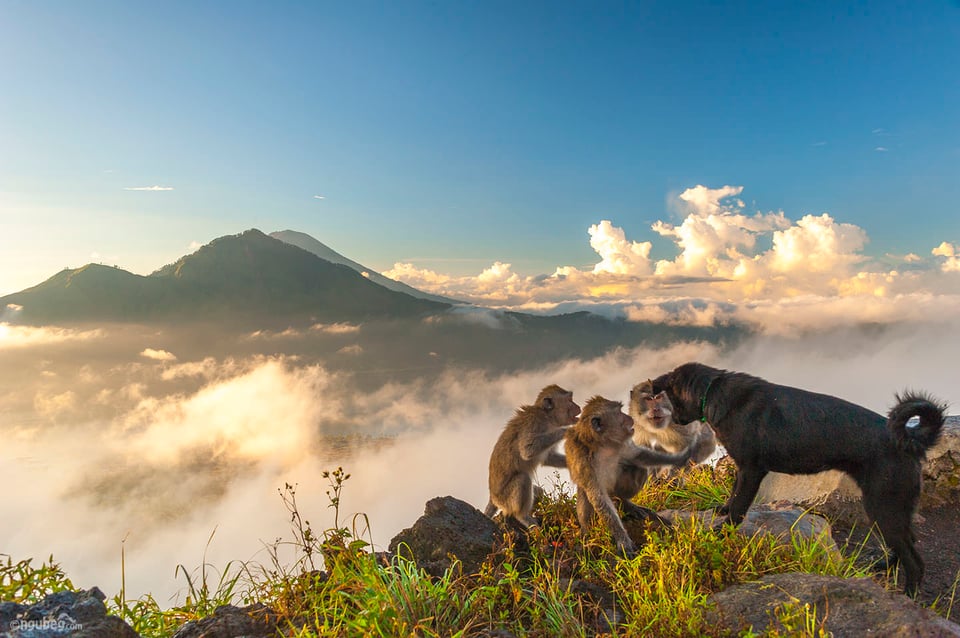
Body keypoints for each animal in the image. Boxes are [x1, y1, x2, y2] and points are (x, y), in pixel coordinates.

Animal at [484, 384, 580, 528]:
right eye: (570, 400)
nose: (578, 406)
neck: (547, 416)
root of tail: (492, 497)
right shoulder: (534, 422)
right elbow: (527, 450)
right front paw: (566, 431)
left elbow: (548, 458)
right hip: (505, 499)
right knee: (523, 478)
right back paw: (524, 518)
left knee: (538, 491)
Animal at [568, 396, 692, 556]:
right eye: (619, 412)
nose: (629, 418)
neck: (603, 446)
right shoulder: (584, 462)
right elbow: (599, 498)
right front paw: (622, 540)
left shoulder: (623, 444)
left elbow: (641, 456)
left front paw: (681, 458)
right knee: (586, 495)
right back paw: (586, 531)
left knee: (637, 467)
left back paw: (626, 504)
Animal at [648, 362, 948, 596]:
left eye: (670, 400)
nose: (676, 419)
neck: (713, 391)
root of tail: (910, 439)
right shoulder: (743, 471)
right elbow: (733, 497)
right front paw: (722, 509)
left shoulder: (751, 470)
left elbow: (739, 507)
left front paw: (722, 531)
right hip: (893, 508)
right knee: (907, 540)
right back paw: (884, 565)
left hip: (882, 505)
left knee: (915, 561)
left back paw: (908, 595)